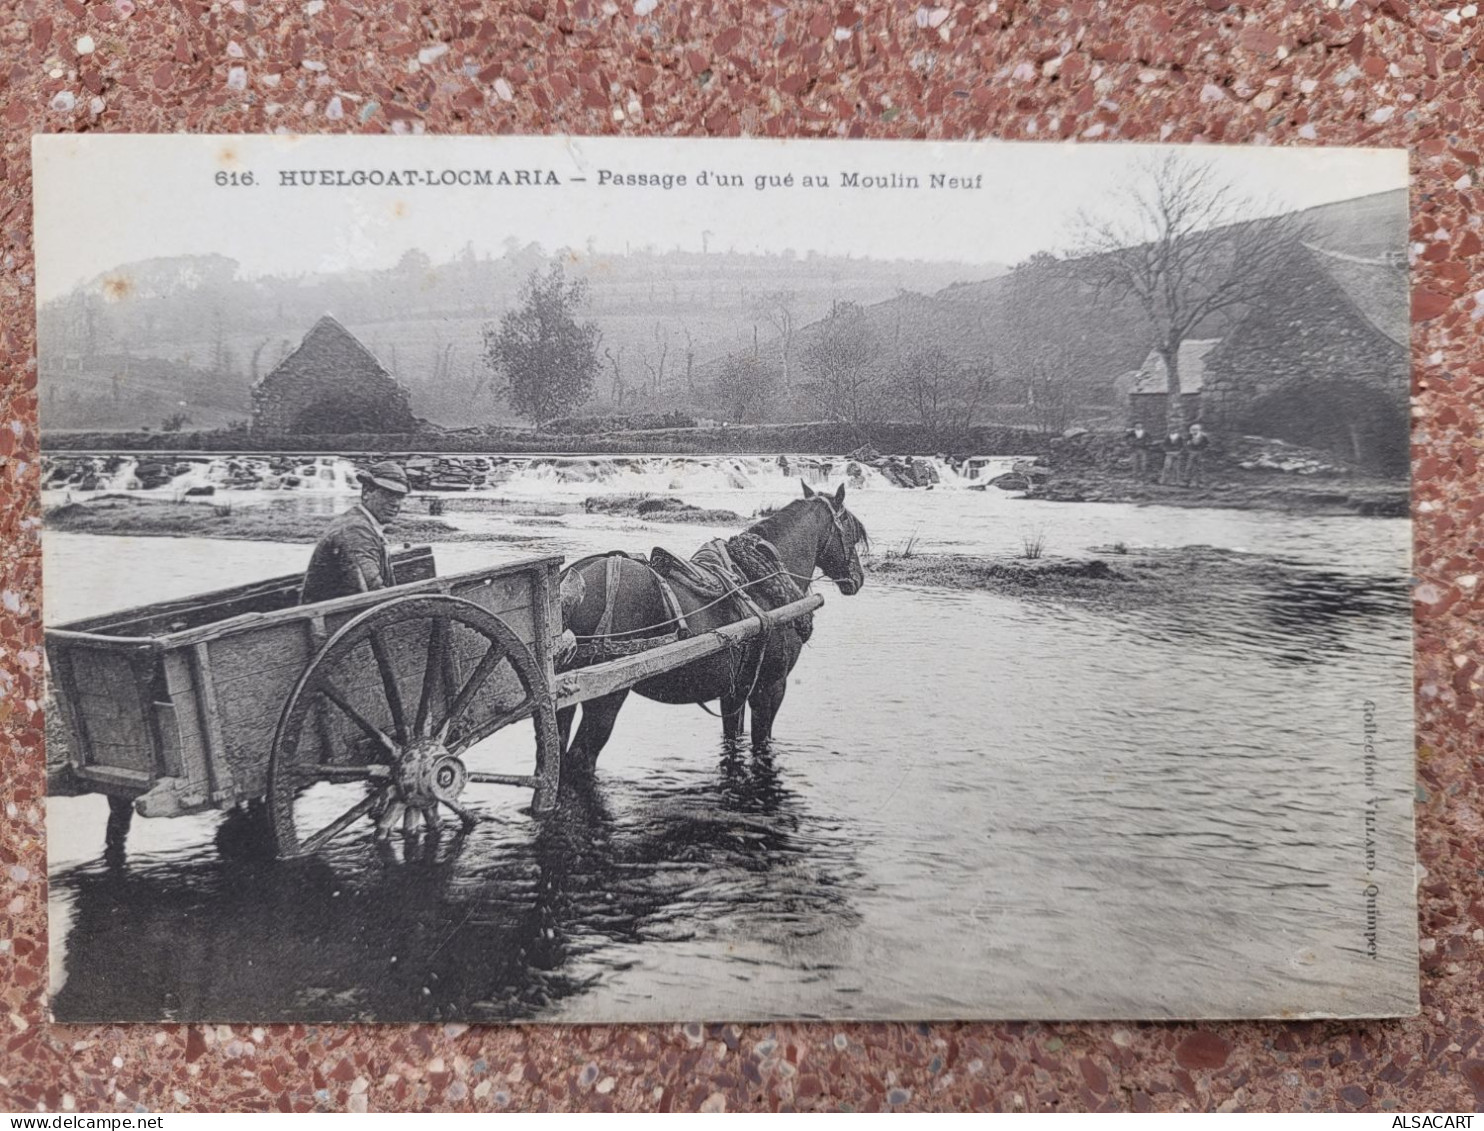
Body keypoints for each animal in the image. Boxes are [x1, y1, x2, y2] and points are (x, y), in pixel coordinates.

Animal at [557, 480, 866, 771]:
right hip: (606, 696)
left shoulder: (734, 692)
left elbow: (732, 740)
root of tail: (572, 580)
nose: (858, 578)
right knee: (580, 757)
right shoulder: (771, 687)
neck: (764, 585)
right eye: (852, 531)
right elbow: (761, 742)